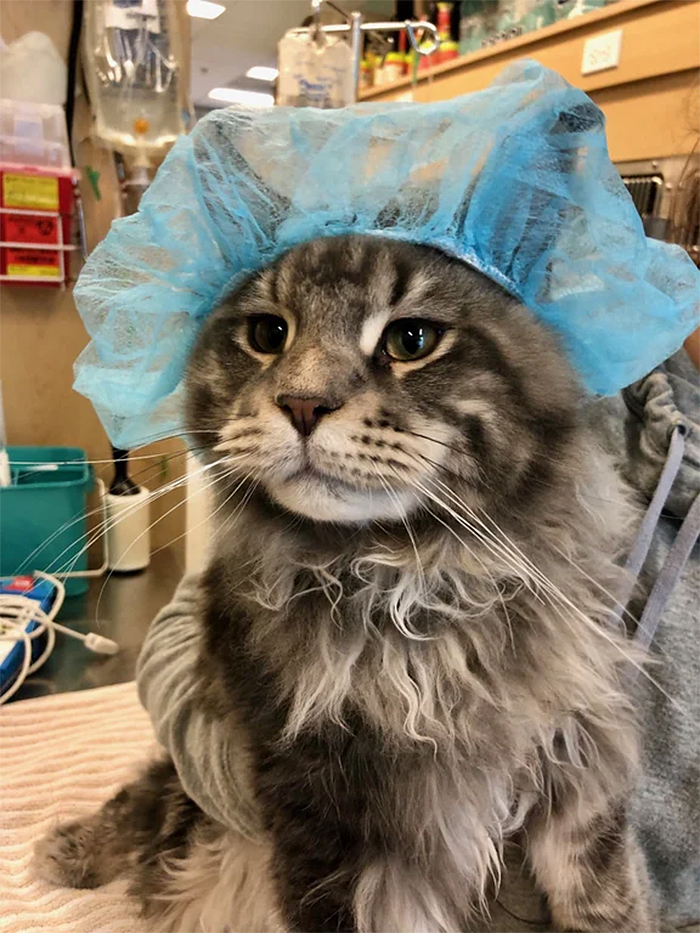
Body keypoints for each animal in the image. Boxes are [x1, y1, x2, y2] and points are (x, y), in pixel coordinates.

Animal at [35, 235, 660, 932]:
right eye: (268, 334)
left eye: (412, 339)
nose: (303, 404)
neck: (411, 585)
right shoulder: (319, 808)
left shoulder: (578, 770)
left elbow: (607, 904)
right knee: (147, 799)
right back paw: (72, 850)